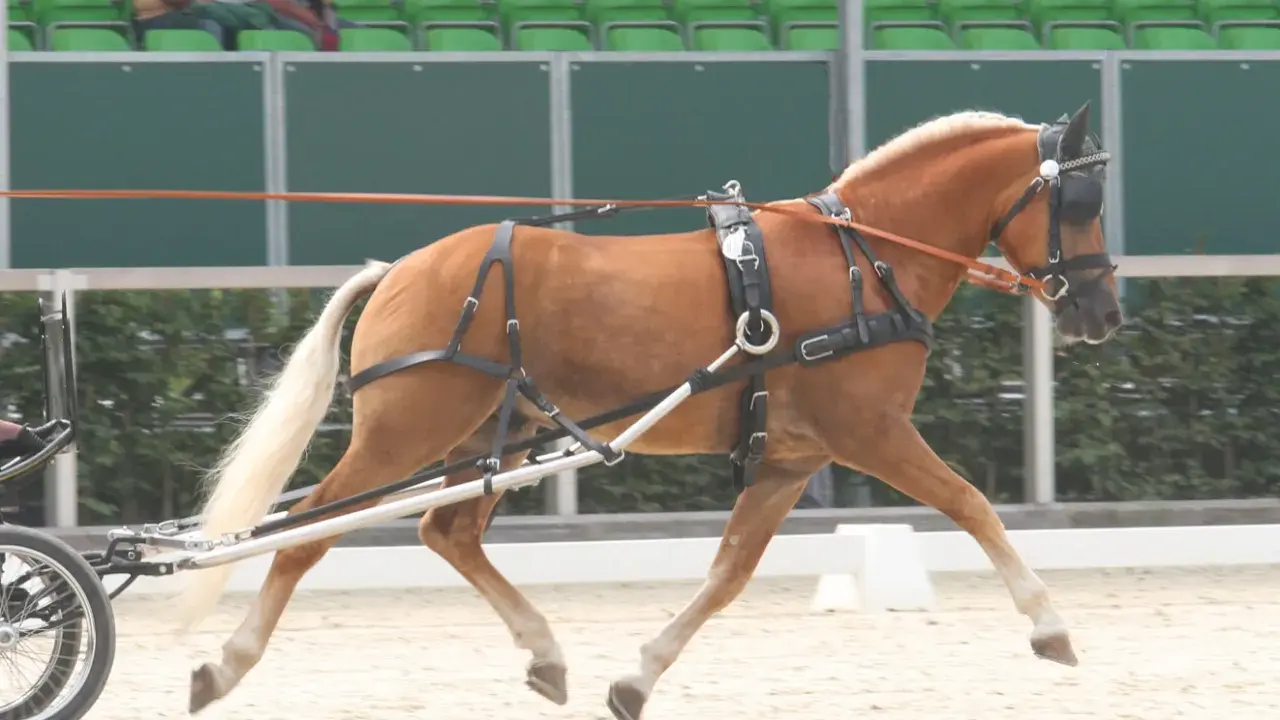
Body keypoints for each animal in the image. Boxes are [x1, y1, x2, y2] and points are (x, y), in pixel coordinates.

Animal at [176, 102, 1121, 719]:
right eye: (1079, 204)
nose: (1103, 314)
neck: (865, 258)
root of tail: (401, 268)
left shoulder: (791, 458)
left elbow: (729, 572)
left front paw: (636, 679)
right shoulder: (872, 432)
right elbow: (971, 504)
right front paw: (1050, 628)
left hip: (489, 438)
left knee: (446, 533)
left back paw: (546, 653)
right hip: (407, 430)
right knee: (309, 534)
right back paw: (226, 664)